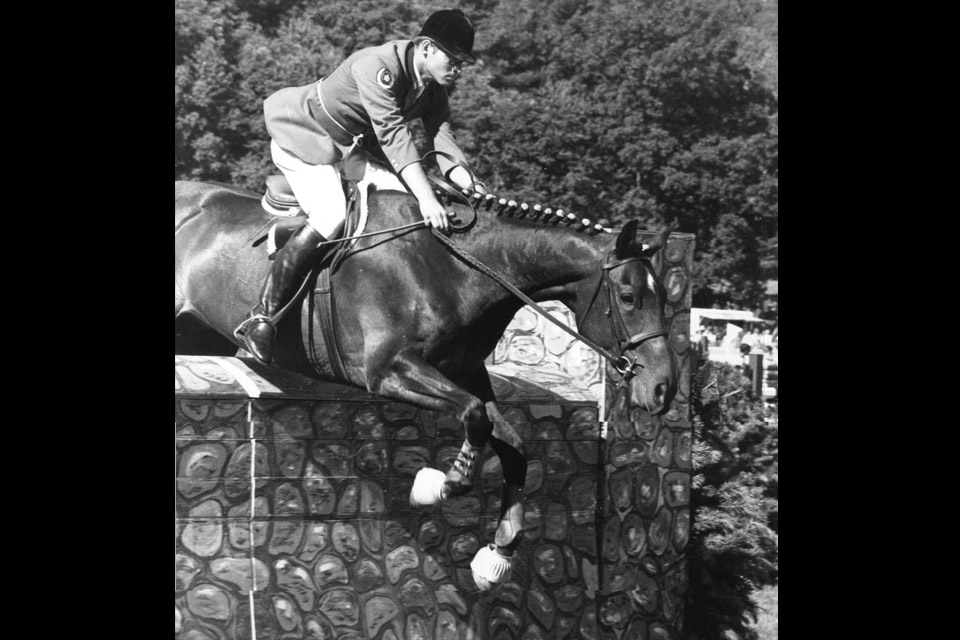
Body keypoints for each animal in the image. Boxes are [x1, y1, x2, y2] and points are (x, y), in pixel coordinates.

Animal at [174, 175, 684, 592]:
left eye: (661, 295)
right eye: (628, 297)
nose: (663, 389)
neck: (462, 269)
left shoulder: (466, 372)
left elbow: (513, 443)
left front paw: (497, 554)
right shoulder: (388, 369)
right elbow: (475, 418)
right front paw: (438, 484)